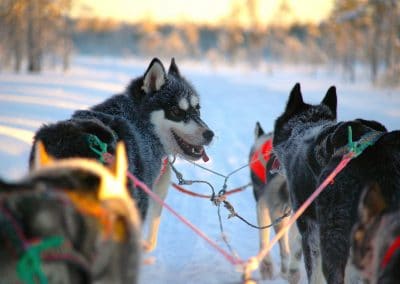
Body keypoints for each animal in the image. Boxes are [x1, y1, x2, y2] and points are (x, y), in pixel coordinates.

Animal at [248, 121, 302, 282]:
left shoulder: (262, 205)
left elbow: (264, 239)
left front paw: (266, 266)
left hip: (277, 213)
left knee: (285, 250)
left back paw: (286, 271)